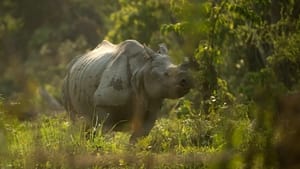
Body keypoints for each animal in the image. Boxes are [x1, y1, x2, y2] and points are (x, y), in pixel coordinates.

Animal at [62, 39, 192, 141]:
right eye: (167, 74)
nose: (187, 80)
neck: (142, 67)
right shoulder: (104, 104)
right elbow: (105, 134)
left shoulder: (151, 105)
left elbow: (137, 139)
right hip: (67, 78)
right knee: (78, 123)